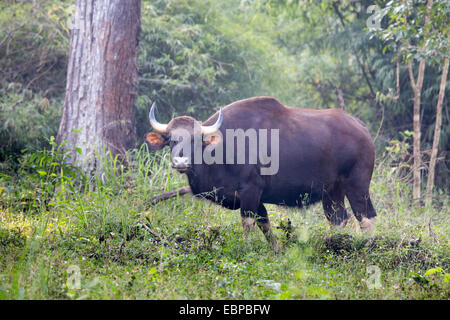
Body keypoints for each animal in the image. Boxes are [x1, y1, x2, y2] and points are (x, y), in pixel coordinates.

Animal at [147, 96, 376, 251]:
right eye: (171, 140)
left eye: (194, 140)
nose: (181, 162)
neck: (222, 148)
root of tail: (362, 129)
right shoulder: (257, 198)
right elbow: (264, 223)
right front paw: (276, 251)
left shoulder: (250, 191)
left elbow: (248, 223)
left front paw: (246, 249)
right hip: (332, 191)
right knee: (338, 219)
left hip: (357, 184)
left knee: (365, 217)